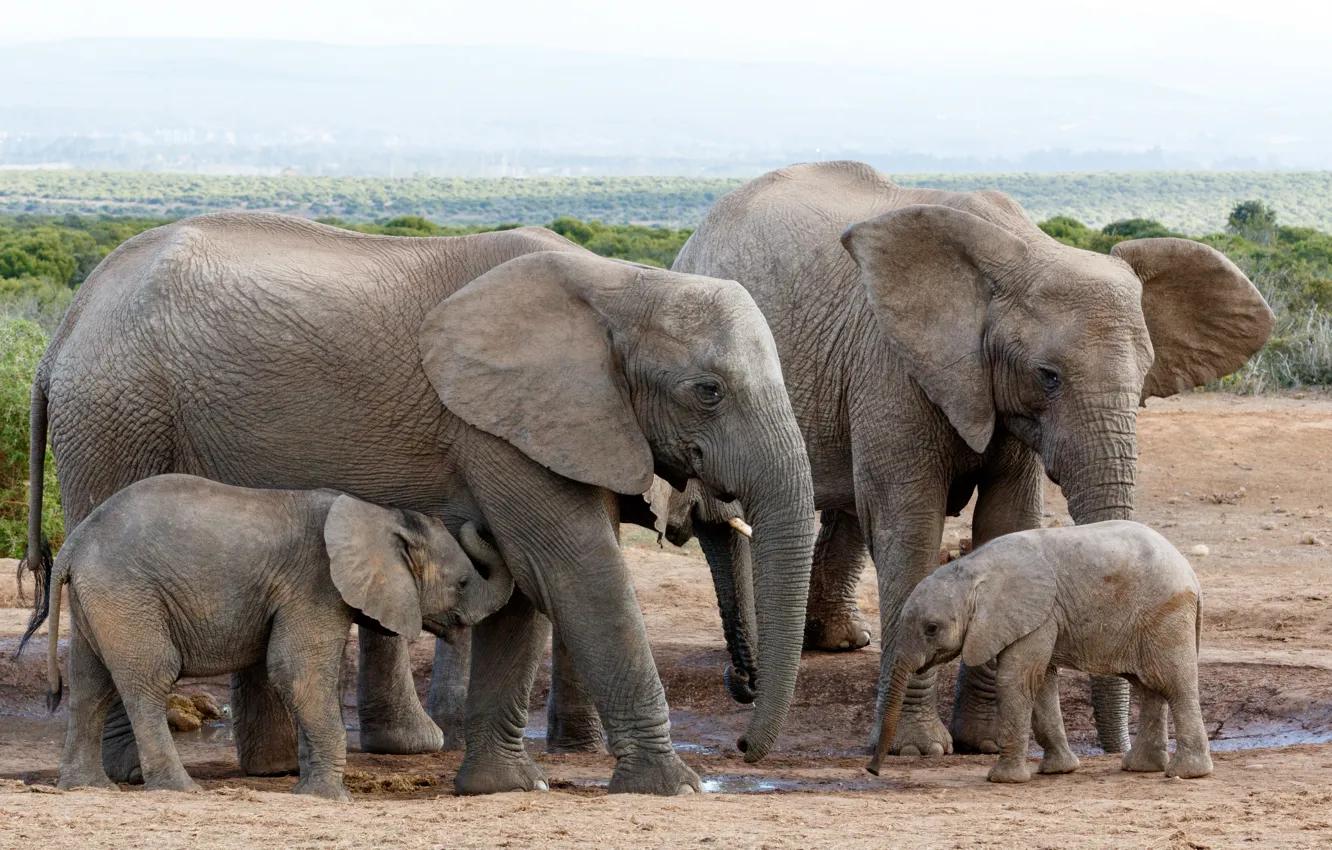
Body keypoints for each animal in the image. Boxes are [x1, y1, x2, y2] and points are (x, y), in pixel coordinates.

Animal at [18, 476, 511, 804]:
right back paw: (181, 790)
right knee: (149, 679)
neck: (378, 514)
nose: (481, 523)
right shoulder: (315, 583)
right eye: (463, 583)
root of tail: (74, 542)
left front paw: (310, 792)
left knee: (91, 685)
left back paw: (87, 787)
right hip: (127, 593)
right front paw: (332, 799)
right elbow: (298, 672)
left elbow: (302, 678)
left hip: (99, 599)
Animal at [868, 522, 1214, 788]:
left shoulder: (1036, 614)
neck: (971, 570)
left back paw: (1187, 773)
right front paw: (1057, 771)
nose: (873, 770)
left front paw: (1003, 780)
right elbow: (1041, 683)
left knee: (1172, 684)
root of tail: (1192, 575)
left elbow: (1017, 679)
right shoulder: (1037, 619)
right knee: (1149, 686)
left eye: (931, 628)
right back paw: (1142, 767)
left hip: (1165, 613)